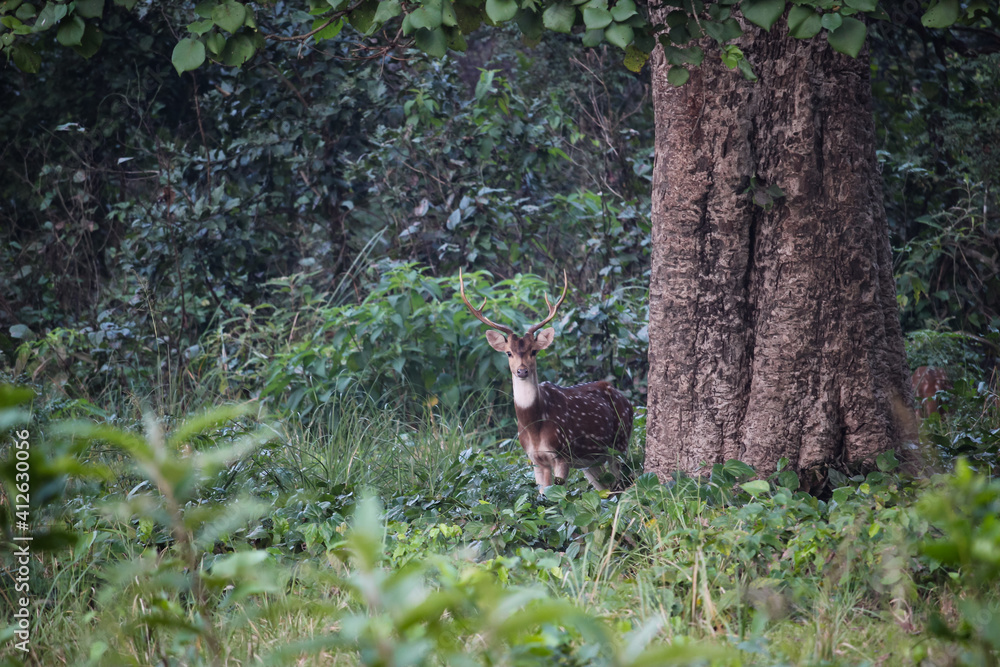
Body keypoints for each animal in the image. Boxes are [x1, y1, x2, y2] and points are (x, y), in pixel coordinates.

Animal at [459, 269, 634, 492]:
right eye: (508, 353)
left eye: (534, 351)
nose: (522, 370)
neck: (534, 428)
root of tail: (628, 401)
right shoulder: (535, 459)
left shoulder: (562, 453)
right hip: (590, 461)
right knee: (606, 488)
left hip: (620, 442)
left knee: (623, 483)